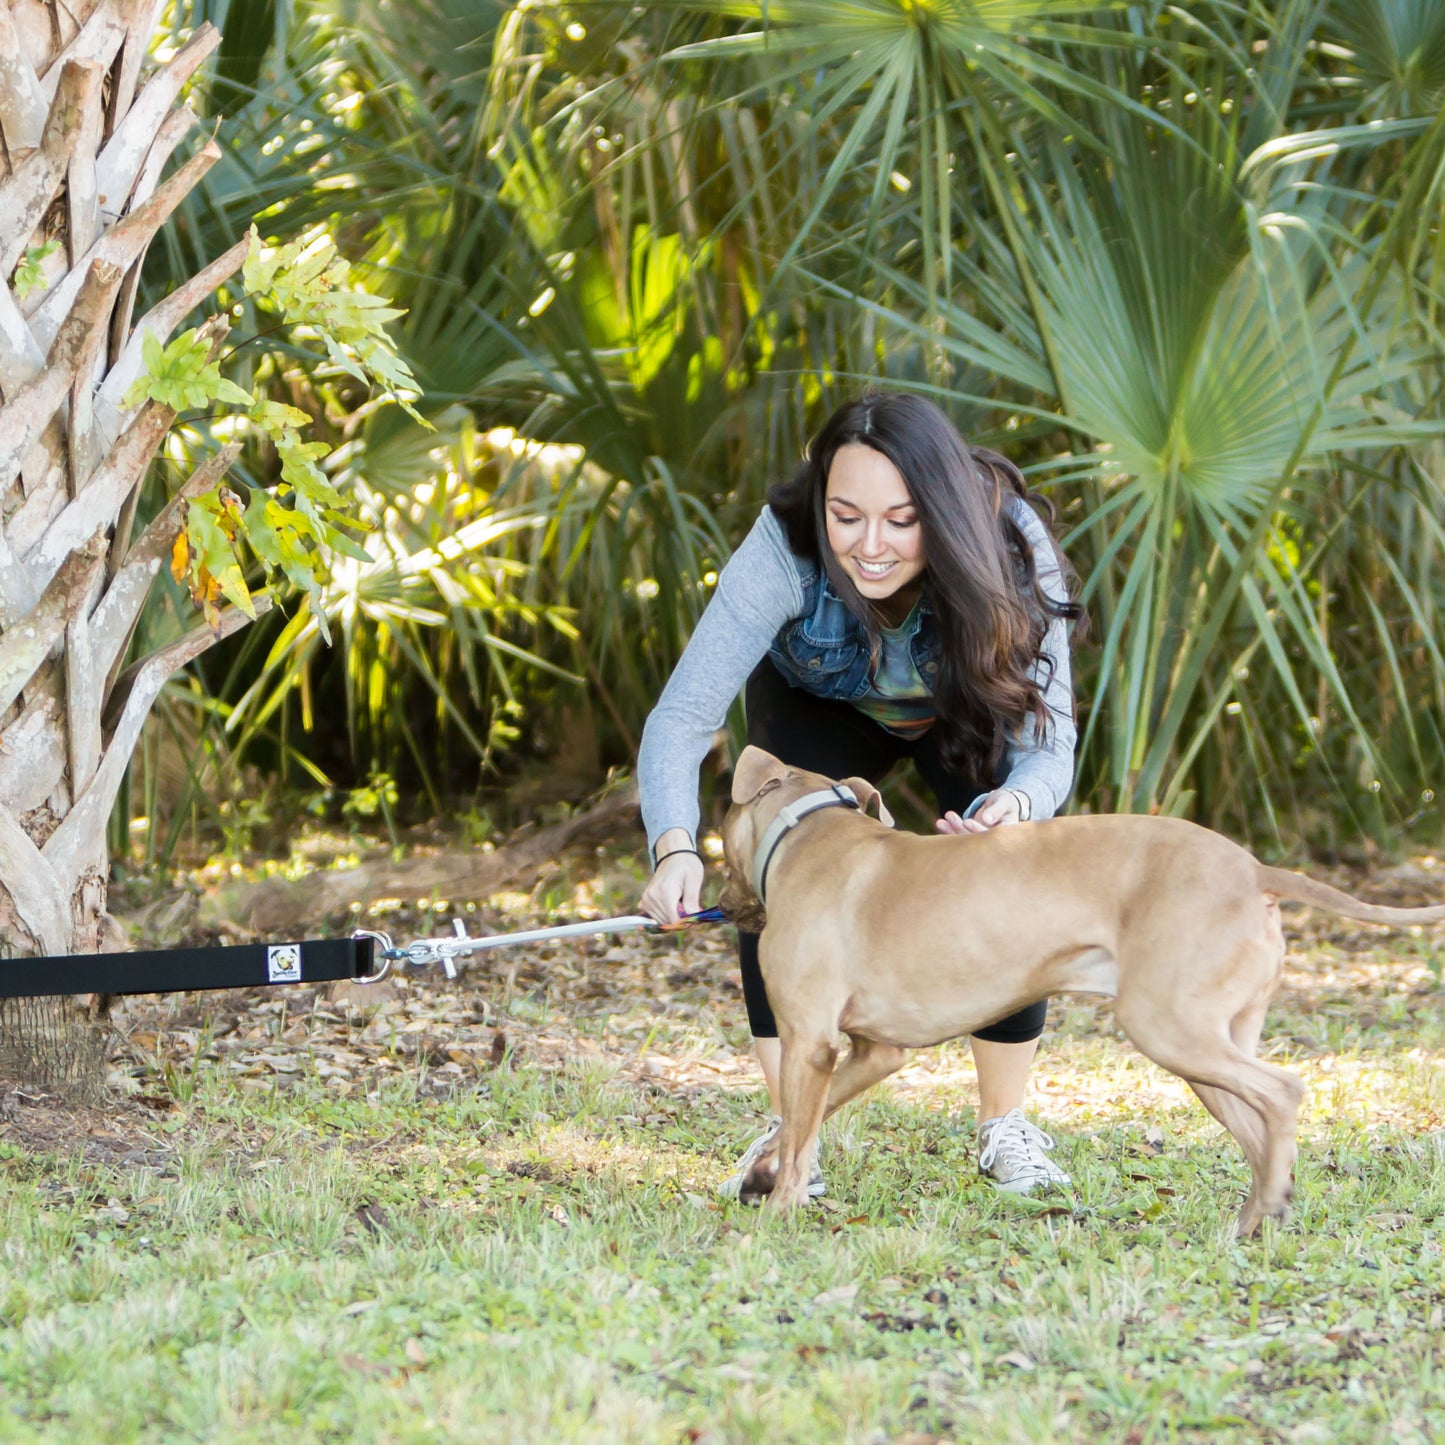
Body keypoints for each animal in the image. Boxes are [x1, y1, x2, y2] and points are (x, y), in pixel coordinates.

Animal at [722, 751, 1445, 1236]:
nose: (724, 905)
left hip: (1168, 1026)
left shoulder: (810, 1041)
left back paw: (1262, 1208)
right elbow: (799, 1122)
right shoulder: (874, 1052)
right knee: (1258, 1122)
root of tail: (1254, 870)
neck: (807, 834)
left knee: (1284, 1091)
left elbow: (797, 1130)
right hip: (1207, 1045)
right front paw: (761, 1173)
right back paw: (1256, 1214)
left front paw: (779, 1208)